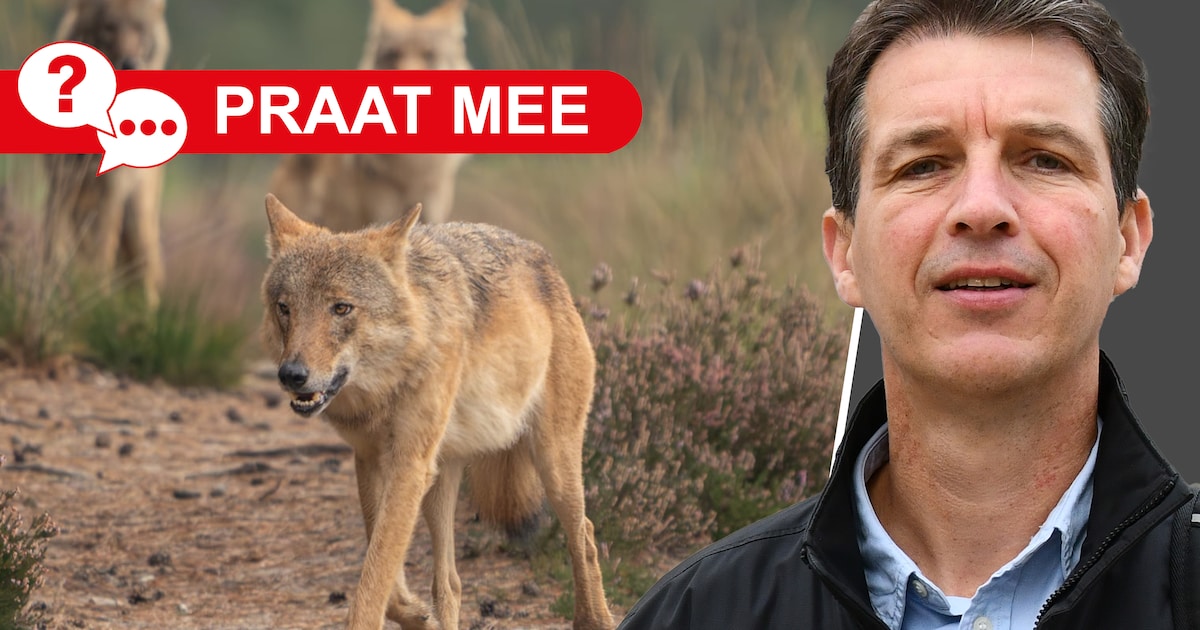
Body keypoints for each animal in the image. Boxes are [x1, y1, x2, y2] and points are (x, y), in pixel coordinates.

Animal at [43, 0, 170, 307]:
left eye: (139, 29)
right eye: (109, 27)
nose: (130, 64)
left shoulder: (110, 193)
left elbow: (101, 256)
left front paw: (97, 301)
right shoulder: (60, 187)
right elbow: (54, 250)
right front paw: (48, 293)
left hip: (137, 223)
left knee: (145, 277)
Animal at [260, 193, 615, 630]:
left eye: (341, 308)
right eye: (285, 308)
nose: (291, 374)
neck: (386, 387)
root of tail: (548, 266)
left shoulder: (409, 465)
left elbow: (373, 582)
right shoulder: (371, 460)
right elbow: (387, 578)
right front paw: (418, 616)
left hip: (552, 463)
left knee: (585, 535)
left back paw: (595, 618)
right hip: (442, 480)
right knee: (450, 582)